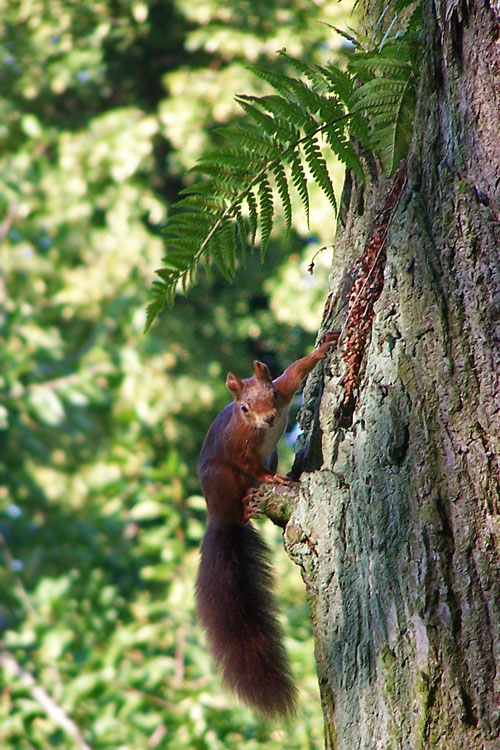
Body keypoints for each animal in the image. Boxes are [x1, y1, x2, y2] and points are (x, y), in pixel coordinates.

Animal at [193, 334, 338, 716]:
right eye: (244, 409)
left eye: (270, 394)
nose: (270, 419)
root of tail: (217, 517)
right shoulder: (240, 448)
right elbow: (253, 468)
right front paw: (270, 478)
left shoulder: (285, 390)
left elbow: (296, 372)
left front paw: (323, 349)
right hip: (222, 480)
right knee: (238, 494)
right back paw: (245, 505)